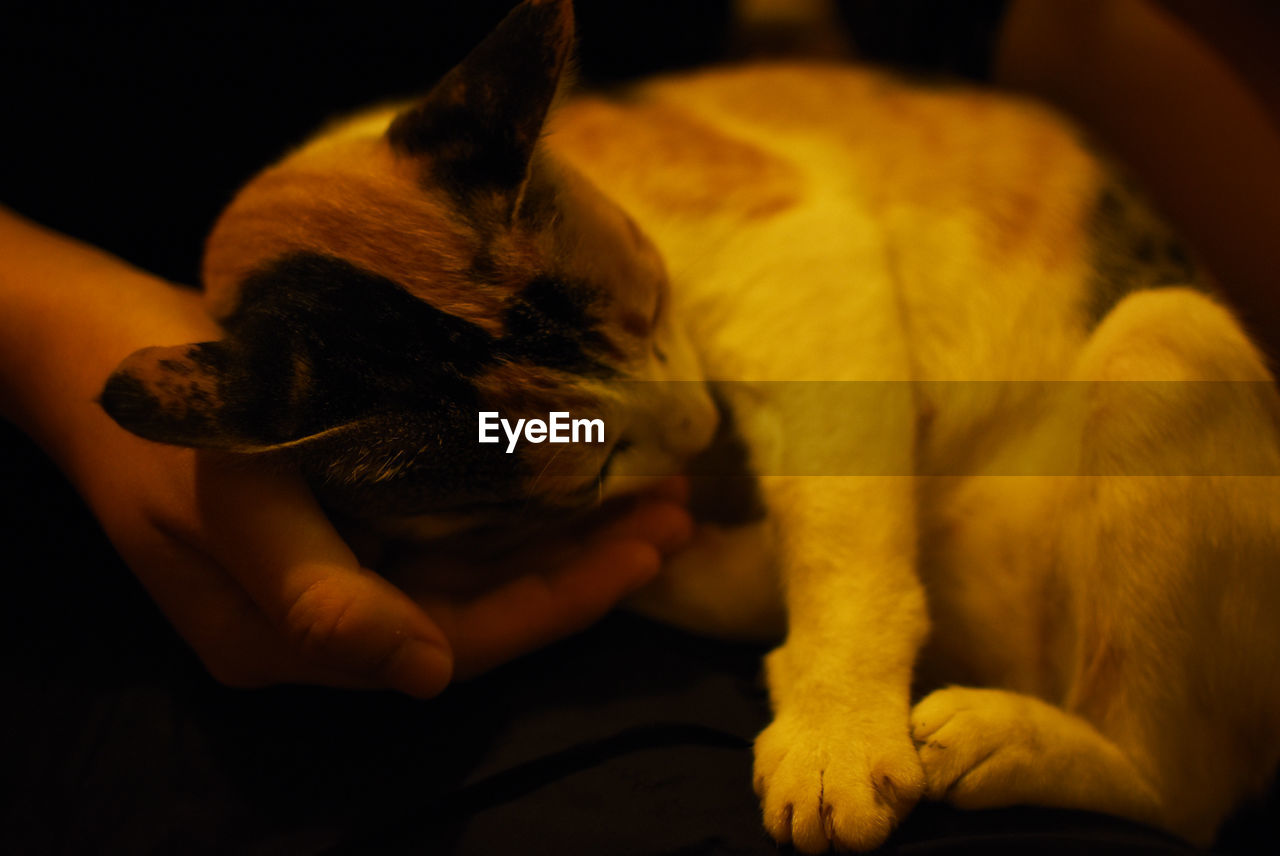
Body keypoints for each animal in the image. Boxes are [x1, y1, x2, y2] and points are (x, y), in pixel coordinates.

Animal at [99, 0, 1280, 849]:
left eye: (657, 302)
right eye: (581, 467)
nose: (701, 421)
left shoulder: (801, 259)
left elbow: (845, 538)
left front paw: (834, 731)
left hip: (1165, 336)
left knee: (1178, 791)